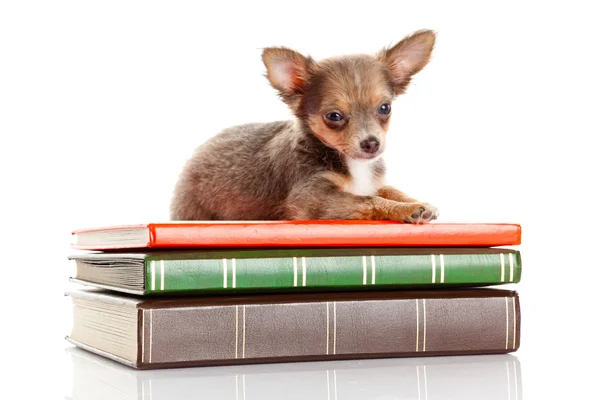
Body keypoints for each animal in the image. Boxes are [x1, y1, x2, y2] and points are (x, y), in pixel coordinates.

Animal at [171, 28, 438, 222]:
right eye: (334, 116)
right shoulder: (311, 200)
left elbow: (386, 188)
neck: (352, 164)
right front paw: (406, 209)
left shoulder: (371, 183)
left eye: (385, 108)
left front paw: (417, 201)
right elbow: (367, 200)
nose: (371, 143)